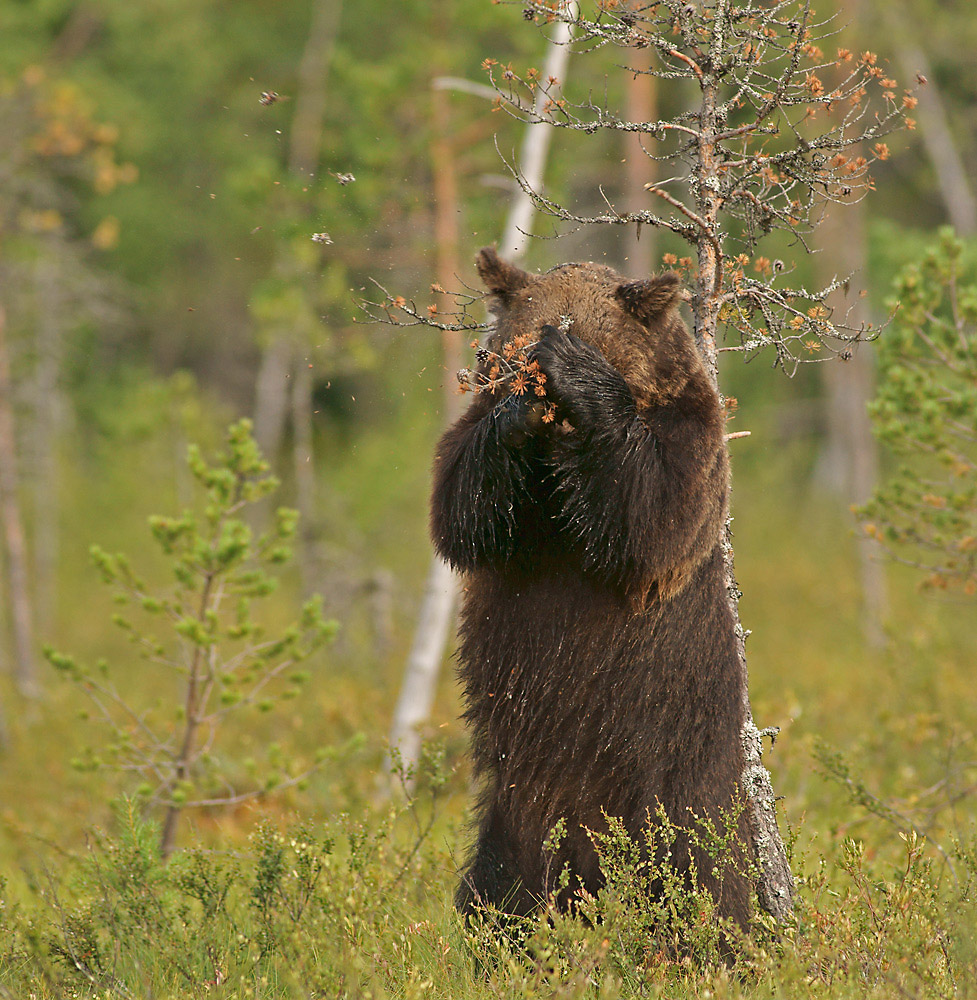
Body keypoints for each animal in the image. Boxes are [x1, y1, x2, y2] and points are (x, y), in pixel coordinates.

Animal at [430, 248, 752, 928]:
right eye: (513, 342)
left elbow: (657, 513)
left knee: (704, 878)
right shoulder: (490, 477)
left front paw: (577, 373)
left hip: (676, 772)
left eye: (585, 331)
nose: (533, 370)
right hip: (519, 807)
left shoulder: (690, 433)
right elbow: (463, 507)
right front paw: (516, 410)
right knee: (499, 887)